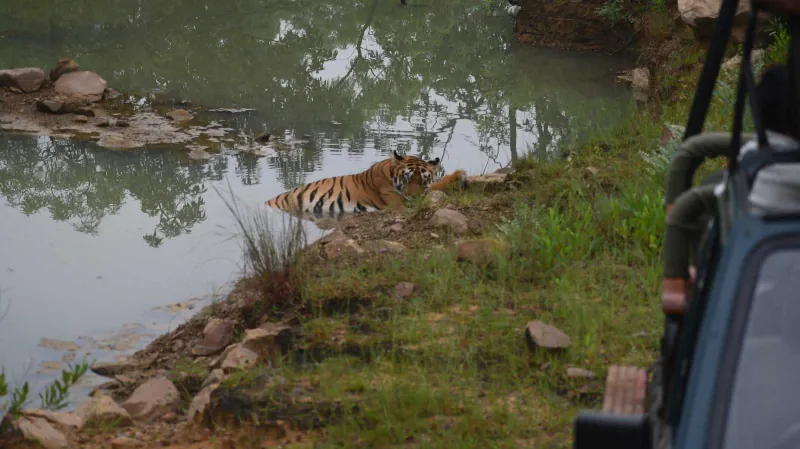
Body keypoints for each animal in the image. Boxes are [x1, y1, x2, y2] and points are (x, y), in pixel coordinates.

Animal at [265, 150, 467, 219]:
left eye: (423, 180)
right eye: (407, 179)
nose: (414, 196)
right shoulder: (399, 203)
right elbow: (435, 188)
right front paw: (457, 176)